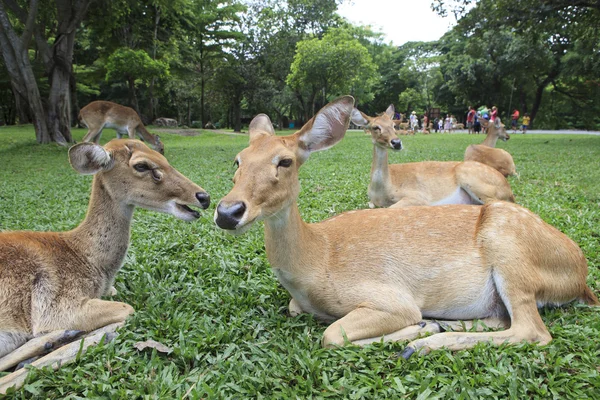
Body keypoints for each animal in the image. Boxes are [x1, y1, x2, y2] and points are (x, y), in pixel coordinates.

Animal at [352, 103, 516, 209]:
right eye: (375, 127)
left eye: (393, 125)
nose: (397, 143)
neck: (382, 190)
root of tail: (508, 189)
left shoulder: (418, 196)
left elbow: (391, 208)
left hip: (473, 179)